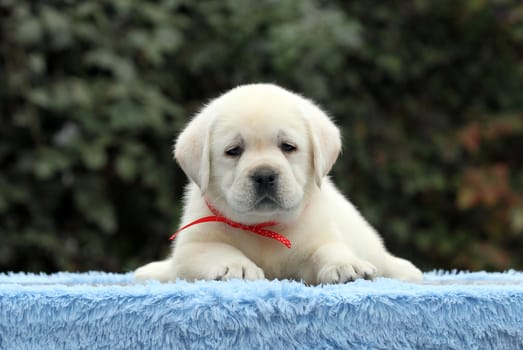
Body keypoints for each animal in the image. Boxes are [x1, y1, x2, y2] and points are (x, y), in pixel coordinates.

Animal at [134, 85, 422, 284]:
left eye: (288, 147)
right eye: (233, 151)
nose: (264, 175)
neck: (264, 227)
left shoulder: (318, 238)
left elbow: (328, 249)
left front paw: (344, 265)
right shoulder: (192, 247)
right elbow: (218, 250)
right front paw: (237, 267)